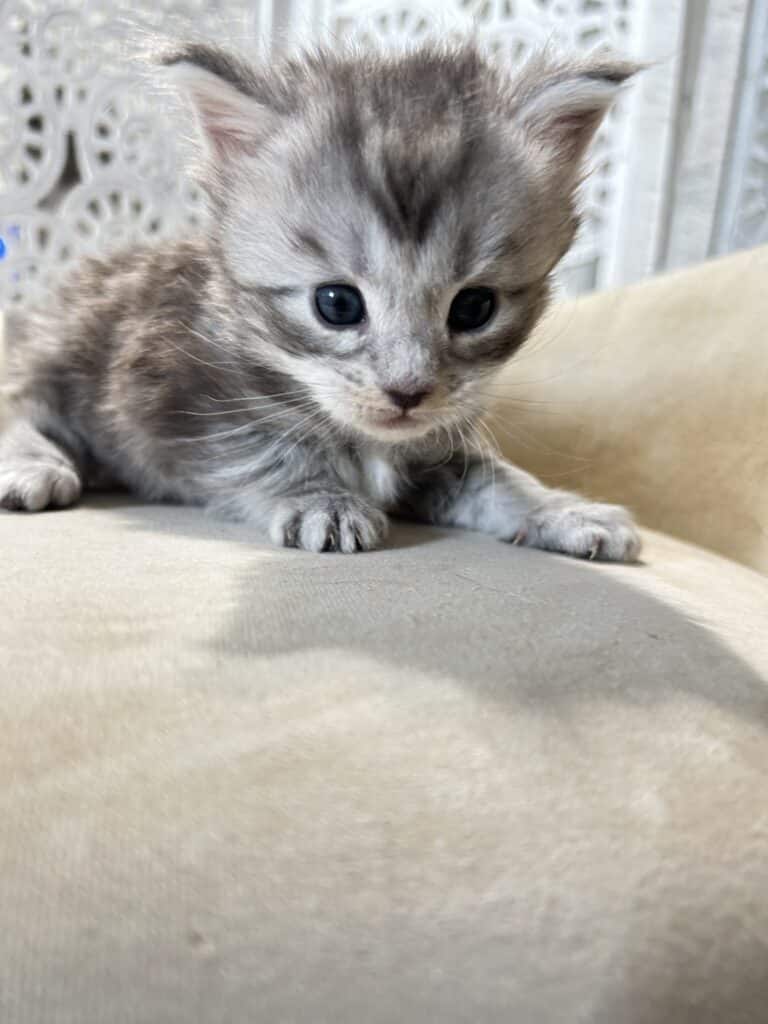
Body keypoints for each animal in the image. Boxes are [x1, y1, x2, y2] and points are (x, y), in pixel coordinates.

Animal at [0, 39, 643, 561]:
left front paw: (561, 510)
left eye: (473, 309)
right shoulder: (178, 401)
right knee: (20, 404)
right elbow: (265, 451)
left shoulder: (440, 446)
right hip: (63, 351)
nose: (408, 393)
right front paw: (320, 498)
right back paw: (33, 466)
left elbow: (502, 481)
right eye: (337, 305)